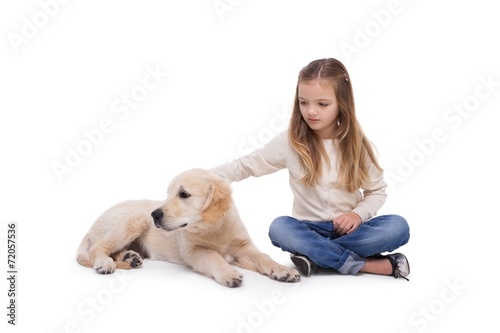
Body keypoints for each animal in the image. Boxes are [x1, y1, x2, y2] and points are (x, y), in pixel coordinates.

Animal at [76, 169, 298, 286]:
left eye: (184, 194)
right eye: (168, 193)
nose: (154, 215)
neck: (212, 228)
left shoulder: (243, 246)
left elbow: (263, 257)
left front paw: (282, 271)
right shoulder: (193, 251)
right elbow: (213, 256)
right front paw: (229, 273)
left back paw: (130, 258)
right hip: (133, 219)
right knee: (98, 248)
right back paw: (105, 263)